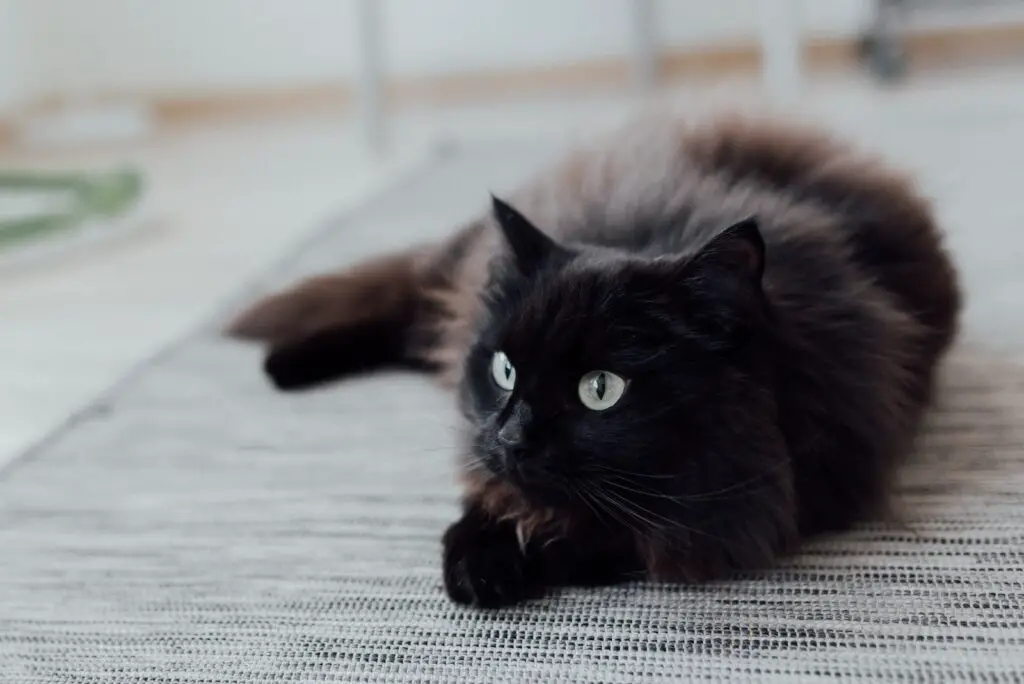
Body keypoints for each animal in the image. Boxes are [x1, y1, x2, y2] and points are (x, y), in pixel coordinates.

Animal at [228, 114, 962, 606]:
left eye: (600, 389)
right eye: (504, 371)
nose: (513, 436)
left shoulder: (791, 488)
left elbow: (617, 536)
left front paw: (511, 561)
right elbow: (490, 491)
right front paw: (477, 556)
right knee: (406, 309)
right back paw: (279, 366)